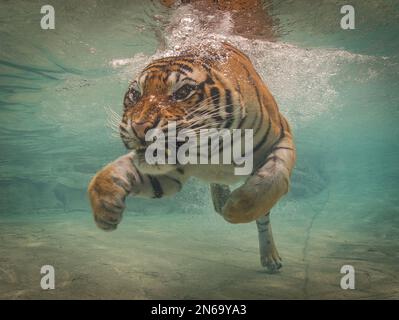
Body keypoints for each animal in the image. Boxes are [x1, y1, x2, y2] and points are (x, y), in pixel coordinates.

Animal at [88, 42, 296, 272]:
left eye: (183, 92)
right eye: (134, 94)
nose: (139, 127)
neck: (212, 148)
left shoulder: (282, 136)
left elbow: (272, 179)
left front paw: (234, 209)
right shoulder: (169, 172)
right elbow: (111, 175)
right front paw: (105, 207)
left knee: (263, 216)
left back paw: (269, 256)